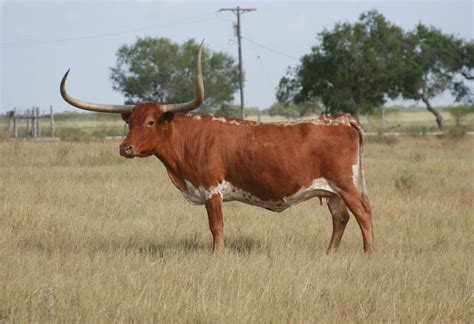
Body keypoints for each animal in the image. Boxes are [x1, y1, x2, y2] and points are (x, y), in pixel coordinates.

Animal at [60, 42, 374, 253]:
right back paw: (330, 253)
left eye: (149, 121)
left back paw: (368, 253)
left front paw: (218, 254)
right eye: (130, 122)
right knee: (340, 218)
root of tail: (341, 118)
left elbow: (216, 226)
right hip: (331, 191)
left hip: (346, 184)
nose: (125, 148)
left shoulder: (212, 190)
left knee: (363, 214)